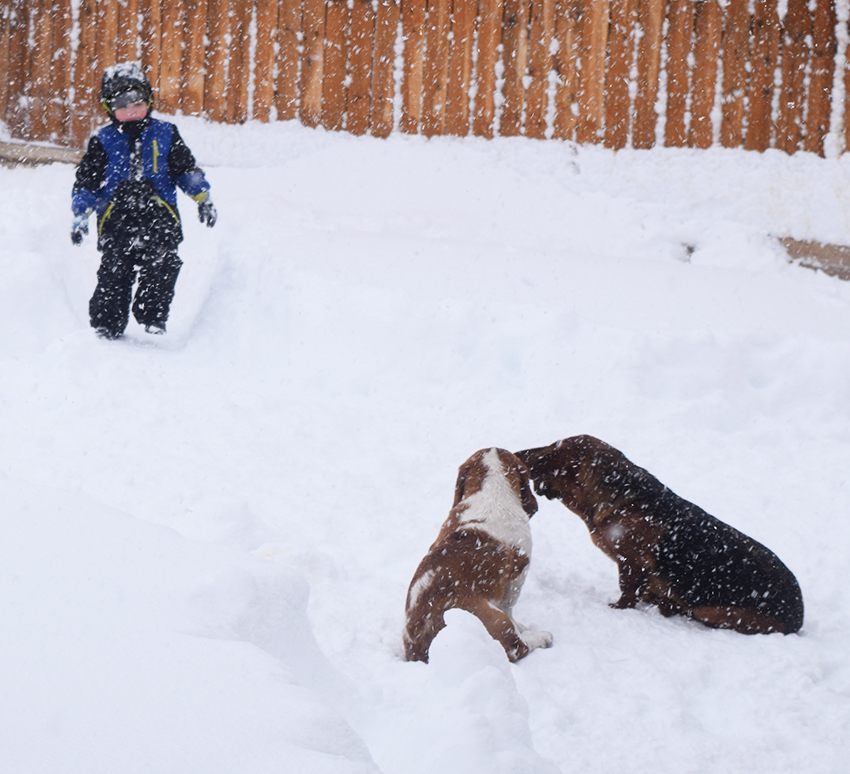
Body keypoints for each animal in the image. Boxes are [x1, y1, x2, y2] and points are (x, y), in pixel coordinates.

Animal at [402, 452, 552, 664]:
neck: (490, 494)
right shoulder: (518, 575)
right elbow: (510, 607)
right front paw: (521, 627)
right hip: (493, 616)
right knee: (516, 648)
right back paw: (542, 637)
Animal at [516, 434, 800, 640]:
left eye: (553, 448)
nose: (517, 453)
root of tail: (799, 617)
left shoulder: (631, 564)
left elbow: (627, 592)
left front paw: (619, 608)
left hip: (714, 610)